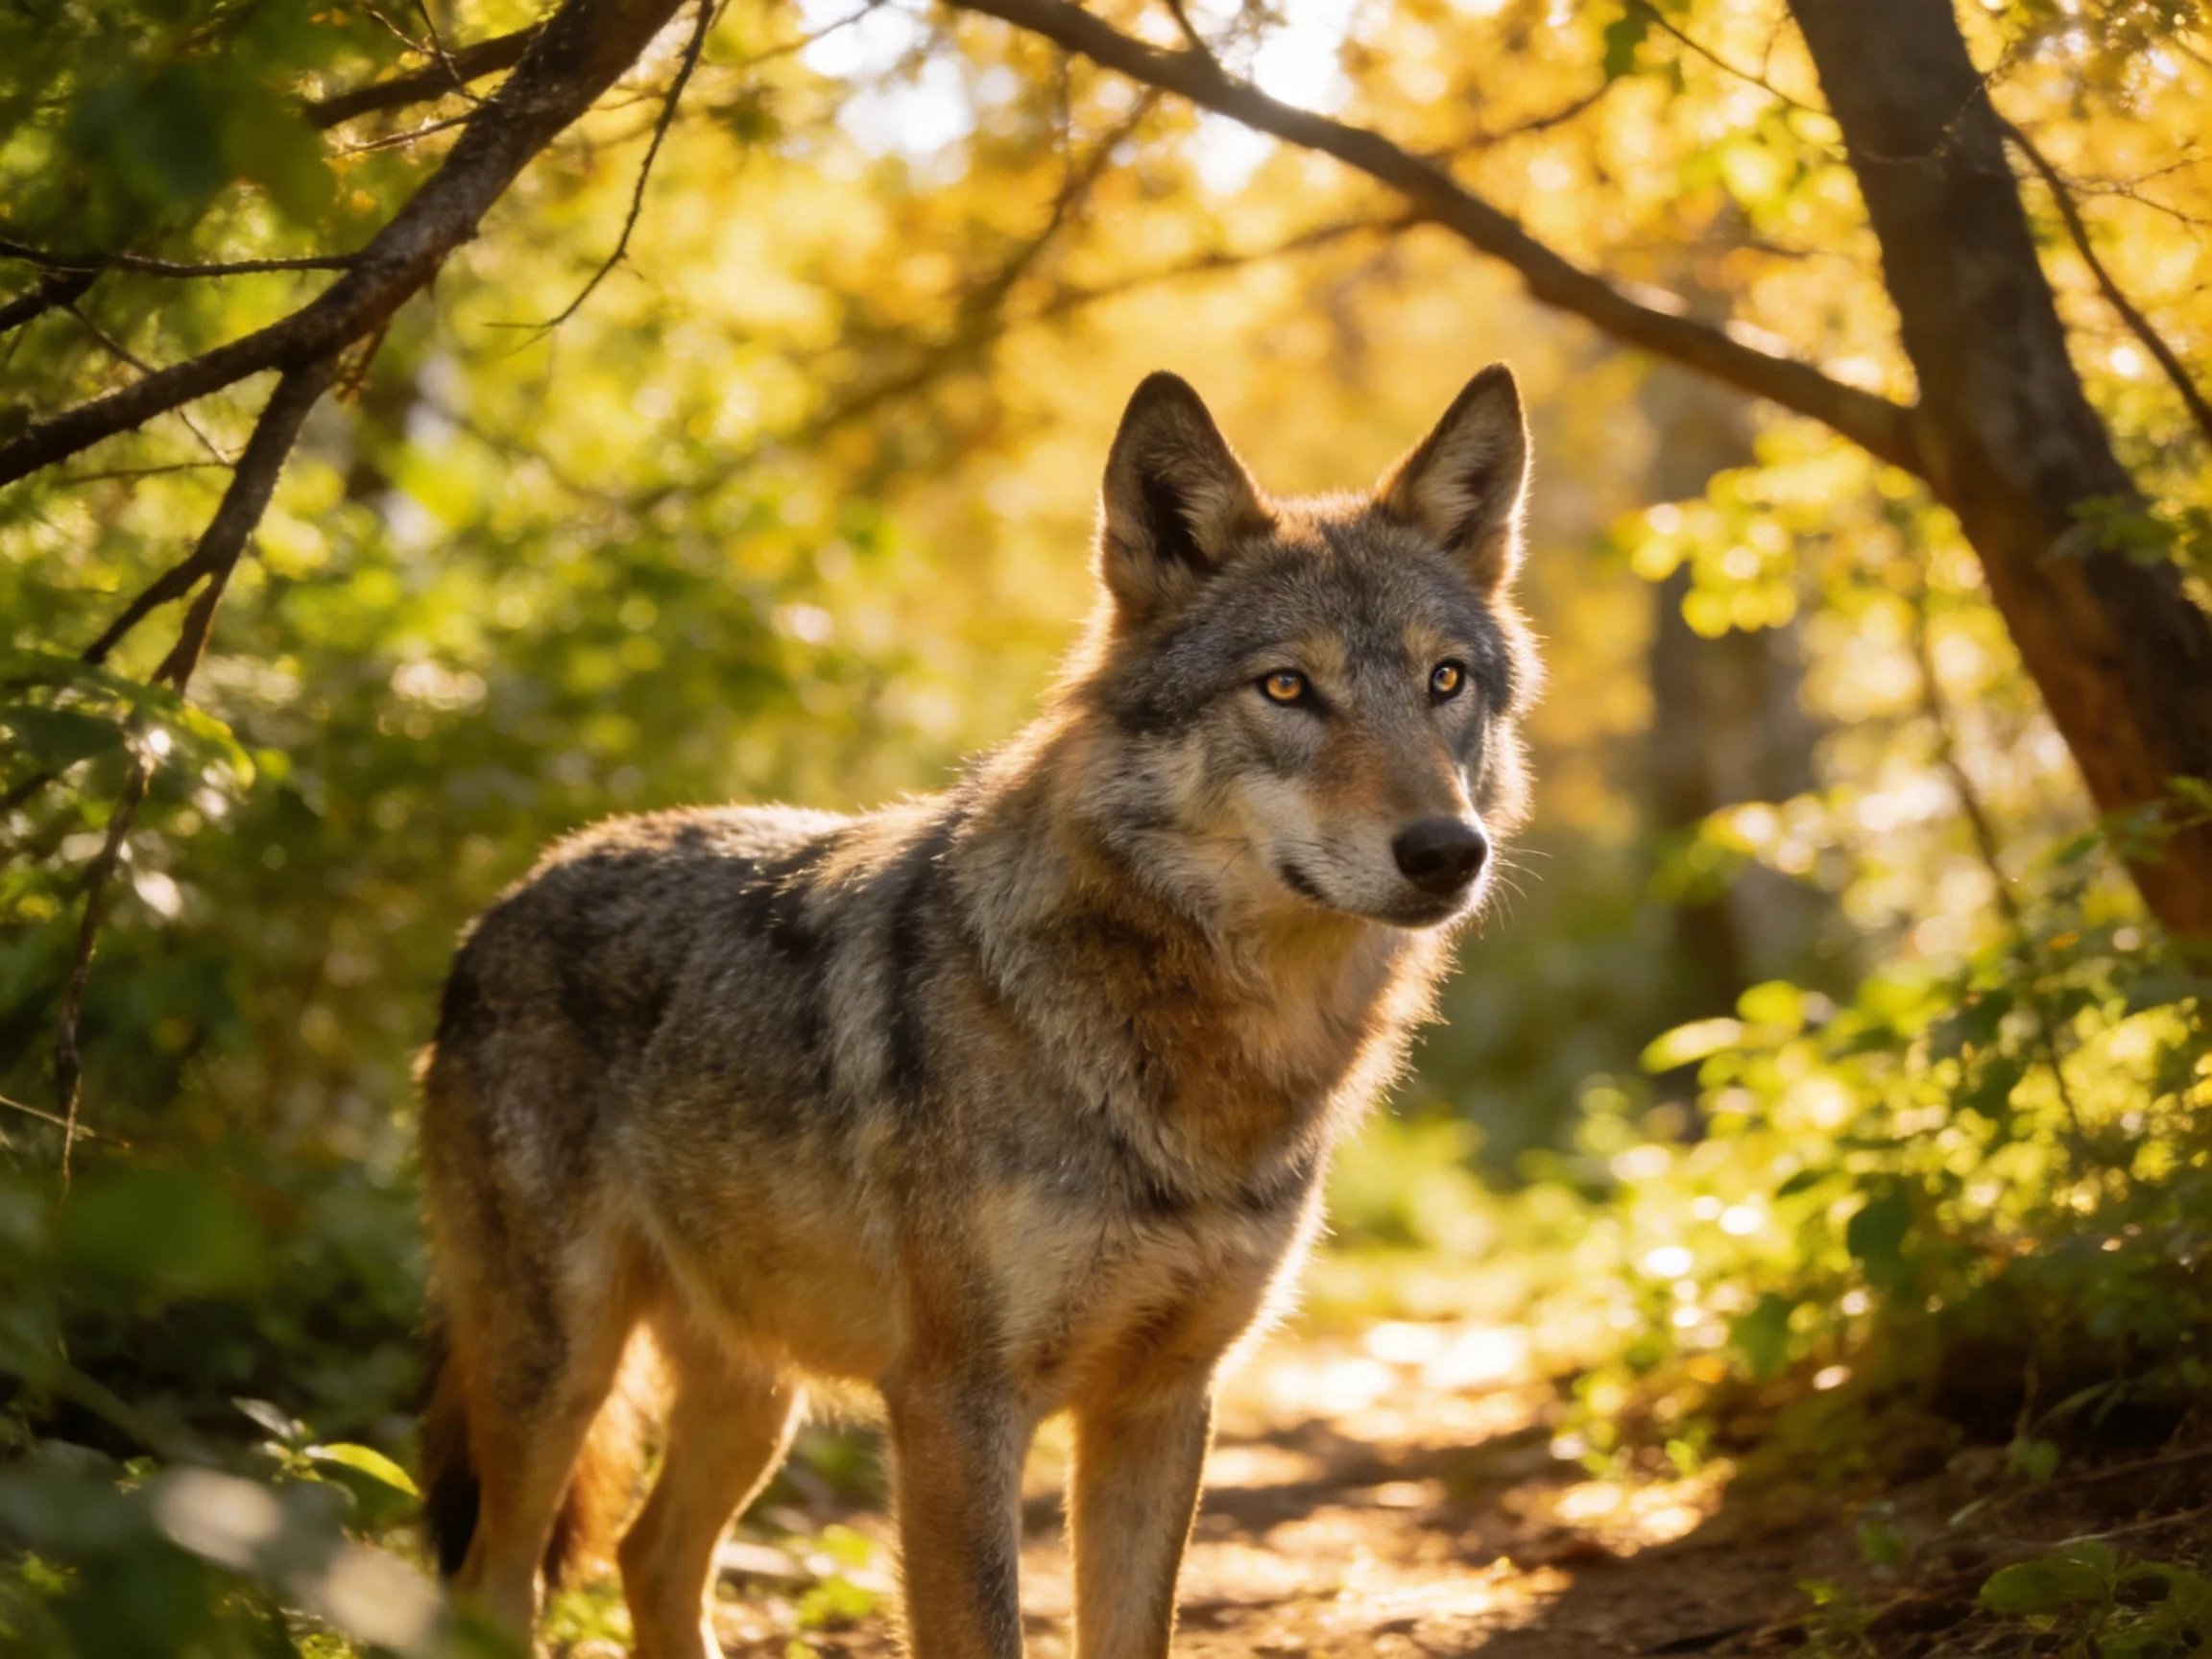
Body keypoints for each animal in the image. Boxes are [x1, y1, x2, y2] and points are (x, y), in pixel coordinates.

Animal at [417, 365, 1540, 1659]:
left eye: (1445, 680)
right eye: (1287, 687)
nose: (1449, 851)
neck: (1198, 1046)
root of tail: (502, 901)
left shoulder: (1163, 1404)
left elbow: (1135, 1636)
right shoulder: (954, 1409)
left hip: (755, 1396)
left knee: (651, 1559)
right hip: (554, 1375)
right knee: (495, 1584)